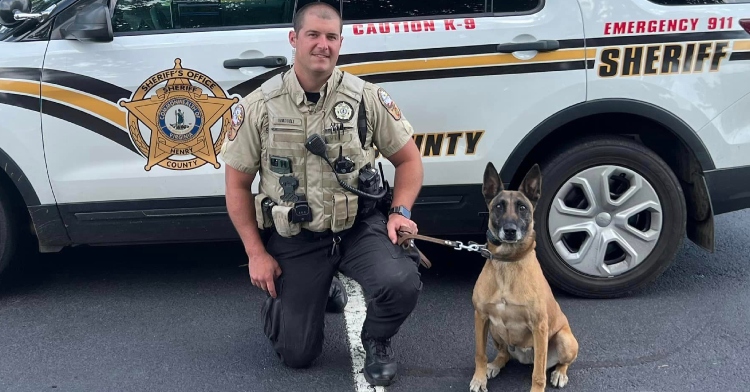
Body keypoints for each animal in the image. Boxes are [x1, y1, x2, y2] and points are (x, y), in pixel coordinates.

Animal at [470, 162, 580, 392]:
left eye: (522, 208)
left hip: (564, 339)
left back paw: (559, 373)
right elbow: (480, 353)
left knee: (559, 363)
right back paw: (495, 365)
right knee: (503, 354)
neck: (507, 262)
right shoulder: (481, 317)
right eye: (499, 207)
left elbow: (538, 374)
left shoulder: (539, 326)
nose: (510, 230)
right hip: (495, 330)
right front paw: (479, 378)